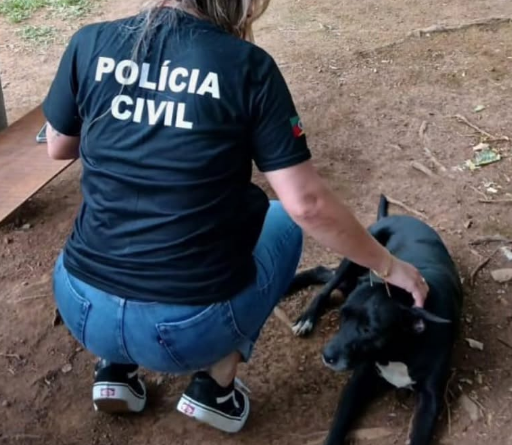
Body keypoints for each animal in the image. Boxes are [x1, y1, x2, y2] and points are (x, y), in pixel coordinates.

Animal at [290, 194, 462, 444]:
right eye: (342, 314)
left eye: (369, 329)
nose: (327, 356)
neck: (399, 351)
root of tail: (396, 217)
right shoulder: (358, 382)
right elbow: (338, 425)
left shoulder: (430, 398)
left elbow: (419, 436)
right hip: (353, 256)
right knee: (327, 284)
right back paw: (305, 315)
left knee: (324, 273)